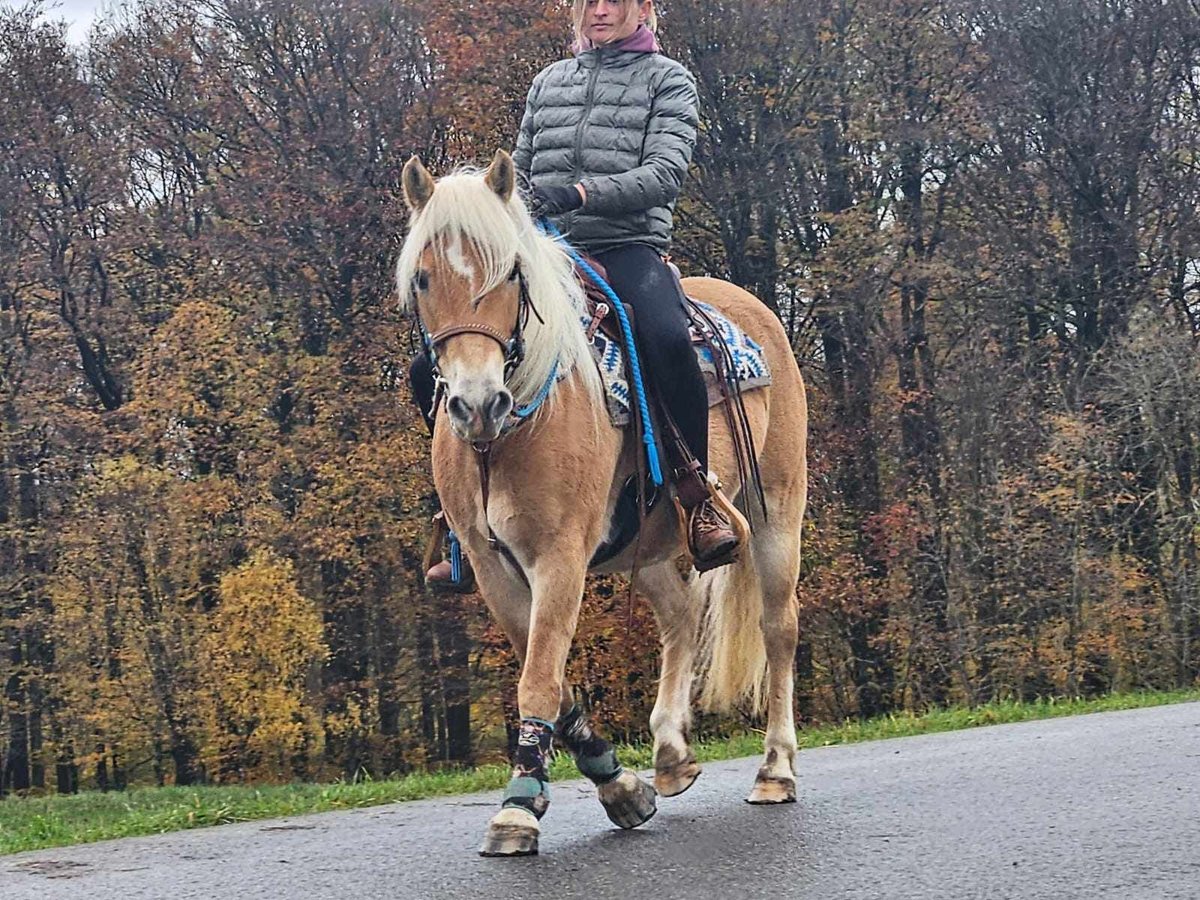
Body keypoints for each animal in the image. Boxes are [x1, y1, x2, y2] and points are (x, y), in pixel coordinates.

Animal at [398, 150, 811, 859]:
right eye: (423, 277)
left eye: (512, 272)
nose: (476, 403)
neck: (516, 427)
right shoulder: (491, 566)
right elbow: (549, 673)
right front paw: (619, 785)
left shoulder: (560, 556)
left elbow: (540, 674)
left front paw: (517, 808)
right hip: (648, 545)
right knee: (680, 617)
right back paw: (671, 754)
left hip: (777, 510)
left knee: (778, 627)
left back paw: (775, 770)